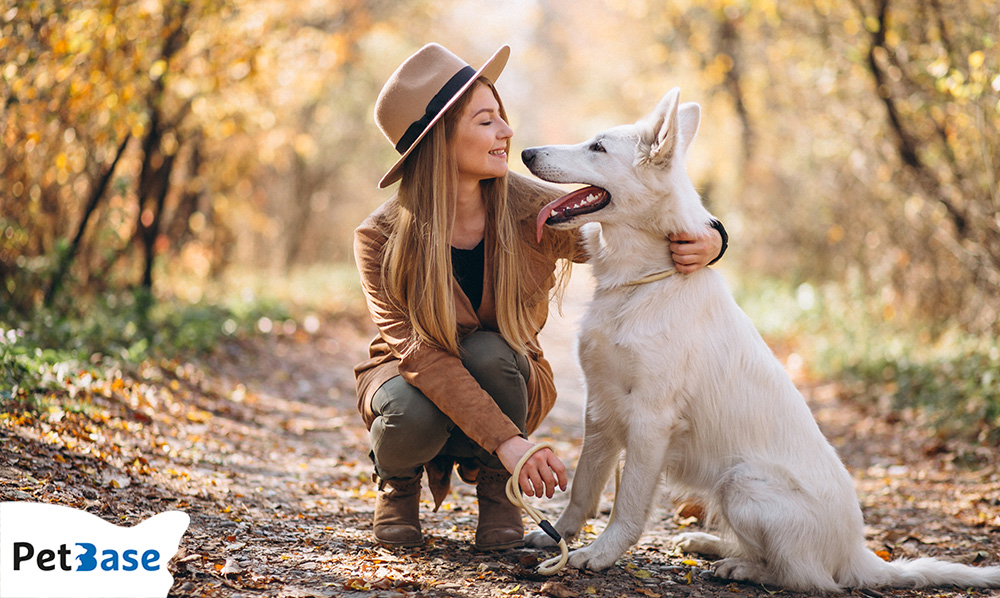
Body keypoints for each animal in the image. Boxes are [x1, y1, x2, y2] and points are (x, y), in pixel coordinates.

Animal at [520, 89, 1000, 596]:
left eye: (598, 147)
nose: (526, 153)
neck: (644, 282)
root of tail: (858, 554)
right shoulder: (601, 409)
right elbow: (583, 488)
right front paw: (558, 537)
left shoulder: (650, 420)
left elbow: (627, 506)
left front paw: (598, 555)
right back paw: (710, 545)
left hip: (743, 482)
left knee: (806, 577)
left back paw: (743, 568)